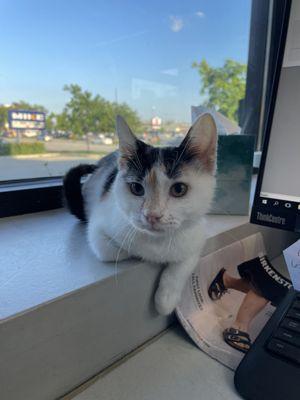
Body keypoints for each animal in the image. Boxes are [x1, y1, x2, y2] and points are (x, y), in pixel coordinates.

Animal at [63, 112, 216, 316]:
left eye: (179, 189)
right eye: (136, 188)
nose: (152, 215)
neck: (157, 241)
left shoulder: (197, 235)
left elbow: (184, 263)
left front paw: (166, 299)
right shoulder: (98, 228)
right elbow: (117, 251)